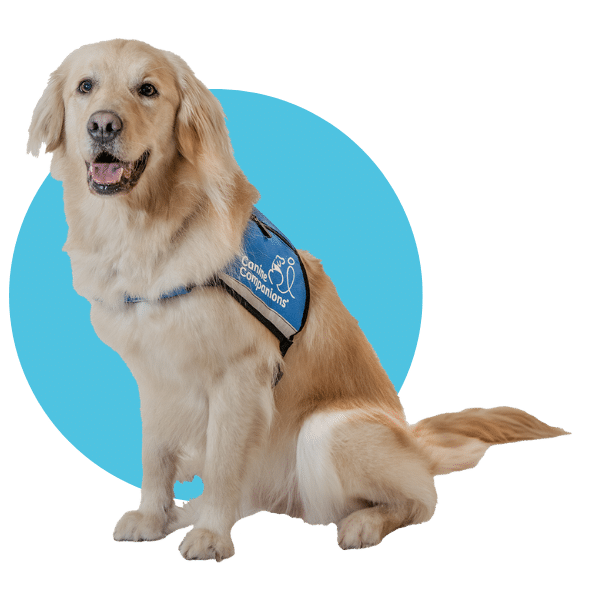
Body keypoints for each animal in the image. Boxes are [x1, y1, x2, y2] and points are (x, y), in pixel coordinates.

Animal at [24, 38, 568, 564]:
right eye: (86, 86)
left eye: (148, 90)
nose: (102, 125)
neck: (147, 233)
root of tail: (413, 441)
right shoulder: (156, 375)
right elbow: (154, 455)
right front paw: (154, 517)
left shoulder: (240, 376)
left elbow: (223, 465)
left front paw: (212, 536)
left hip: (329, 429)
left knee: (420, 498)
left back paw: (362, 523)